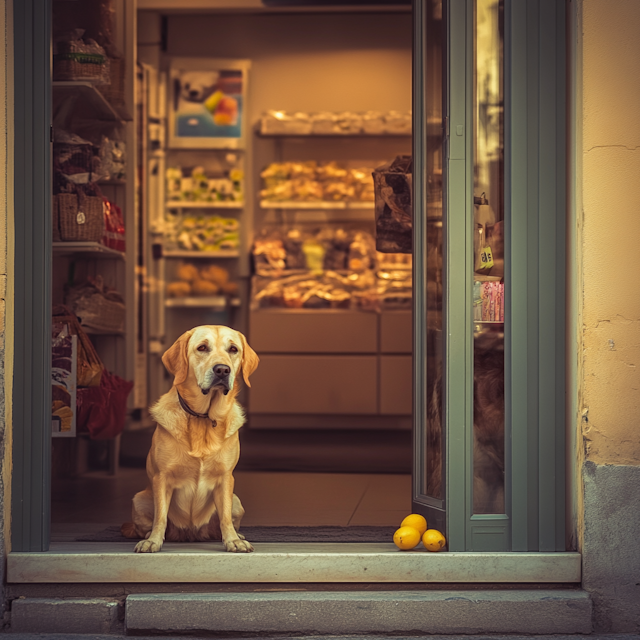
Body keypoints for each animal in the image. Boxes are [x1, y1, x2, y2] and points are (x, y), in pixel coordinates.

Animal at [121, 328, 258, 552]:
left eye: (233, 349)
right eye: (202, 348)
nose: (222, 370)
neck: (203, 418)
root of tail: (191, 534)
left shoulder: (225, 478)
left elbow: (225, 517)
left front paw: (232, 540)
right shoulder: (162, 478)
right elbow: (160, 516)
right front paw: (153, 541)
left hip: (237, 502)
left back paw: (235, 534)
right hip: (139, 500)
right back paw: (150, 535)